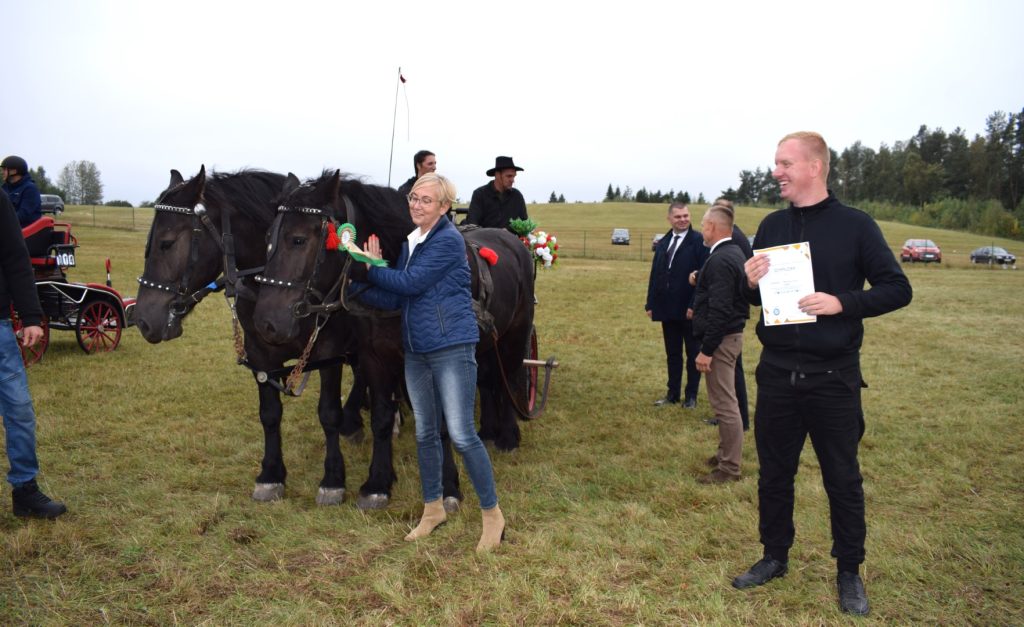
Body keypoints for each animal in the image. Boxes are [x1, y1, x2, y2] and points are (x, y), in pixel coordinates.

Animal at [136, 169, 372, 506]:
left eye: (166, 244)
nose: (142, 319)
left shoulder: (329, 352)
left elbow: (328, 413)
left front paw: (333, 479)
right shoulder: (260, 353)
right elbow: (270, 414)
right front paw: (271, 475)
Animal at [251, 171, 536, 454]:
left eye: (298, 240)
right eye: (266, 238)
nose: (266, 323)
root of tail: (512, 240)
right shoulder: (373, 357)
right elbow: (383, 415)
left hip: (516, 333)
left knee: (507, 377)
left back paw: (508, 435)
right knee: (487, 379)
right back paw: (487, 430)